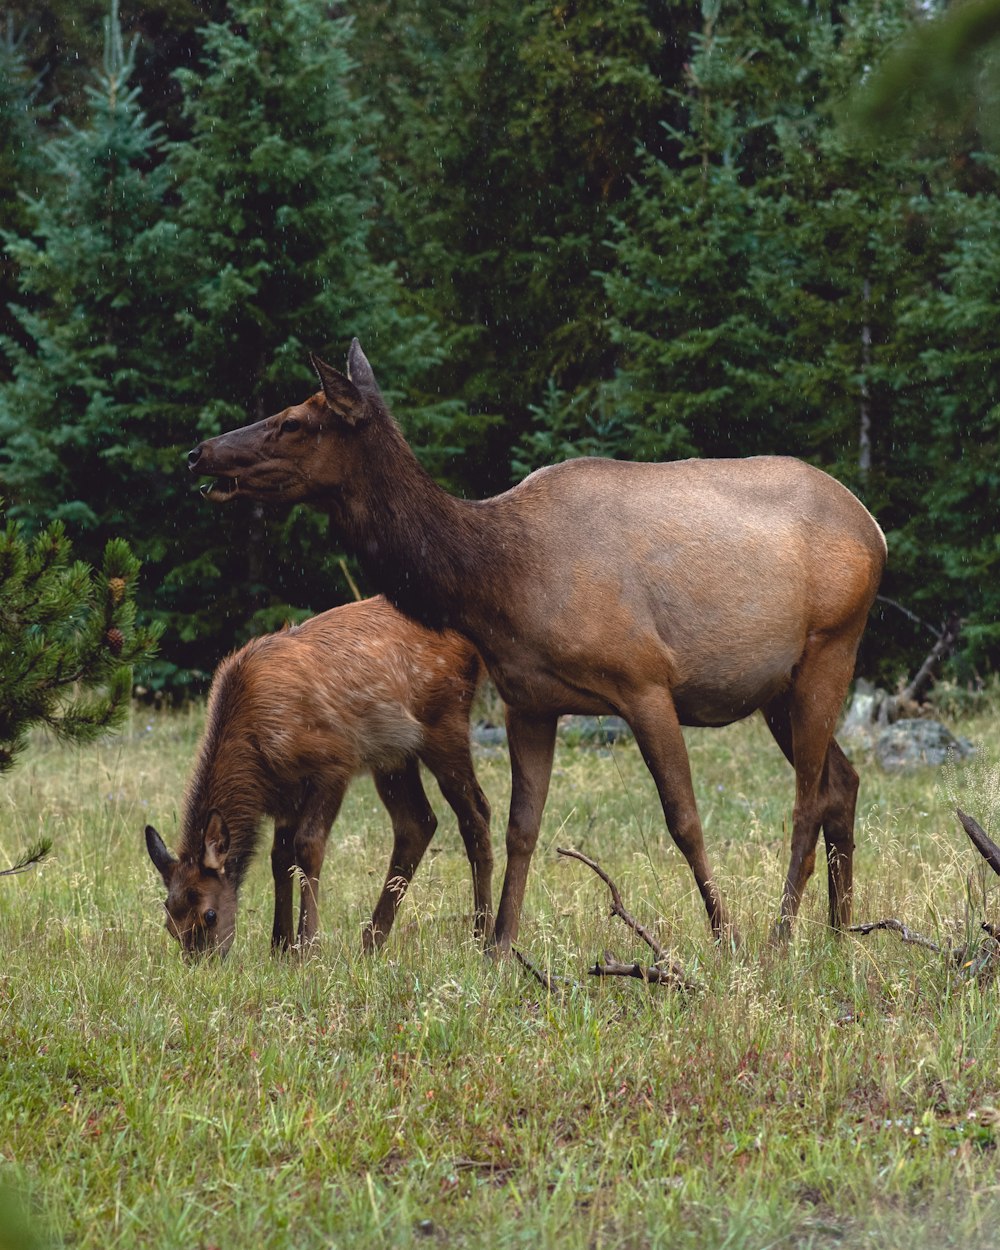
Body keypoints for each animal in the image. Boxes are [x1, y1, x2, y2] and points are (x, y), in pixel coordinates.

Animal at [143, 595, 492, 955]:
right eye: (170, 923)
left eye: (210, 915)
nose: (203, 962)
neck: (258, 752)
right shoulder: (285, 793)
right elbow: (279, 857)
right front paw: (279, 947)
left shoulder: (333, 763)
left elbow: (308, 847)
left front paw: (306, 947)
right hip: (394, 755)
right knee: (418, 822)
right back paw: (370, 942)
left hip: (446, 718)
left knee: (477, 812)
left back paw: (483, 936)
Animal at [187, 340, 885, 945]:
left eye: (294, 421)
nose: (200, 451)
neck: (500, 582)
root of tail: (873, 528)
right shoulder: (528, 701)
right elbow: (522, 826)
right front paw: (499, 945)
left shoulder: (645, 681)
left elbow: (684, 820)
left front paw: (725, 936)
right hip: (777, 687)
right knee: (842, 782)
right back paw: (838, 929)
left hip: (831, 645)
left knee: (806, 801)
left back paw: (781, 935)